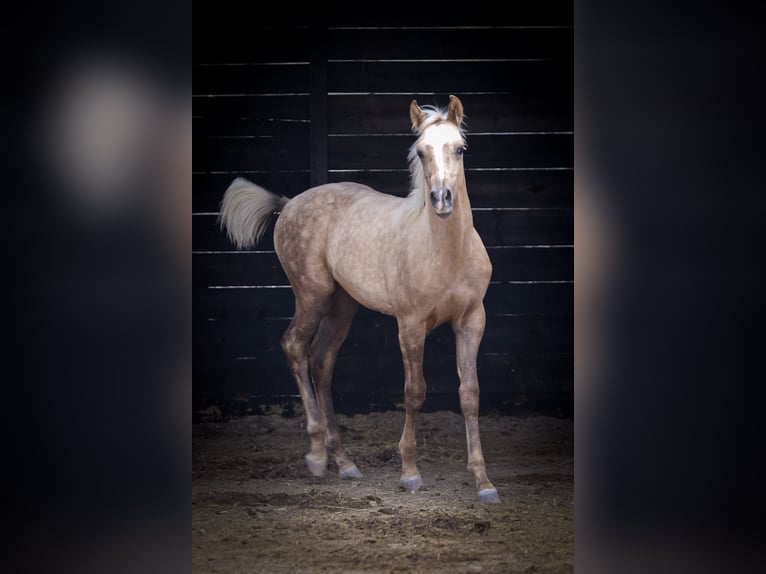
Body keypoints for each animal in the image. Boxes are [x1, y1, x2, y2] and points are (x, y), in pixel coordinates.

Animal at [219, 94, 500, 504]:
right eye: (420, 151)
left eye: (460, 148)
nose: (442, 199)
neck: (447, 253)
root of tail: (288, 203)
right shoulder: (410, 324)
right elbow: (415, 392)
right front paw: (409, 472)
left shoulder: (472, 321)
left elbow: (471, 394)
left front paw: (483, 482)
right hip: (312, 296)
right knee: (294, 346)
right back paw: (317, 455)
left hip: (342, 307)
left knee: (321, 361)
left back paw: (345, 462)